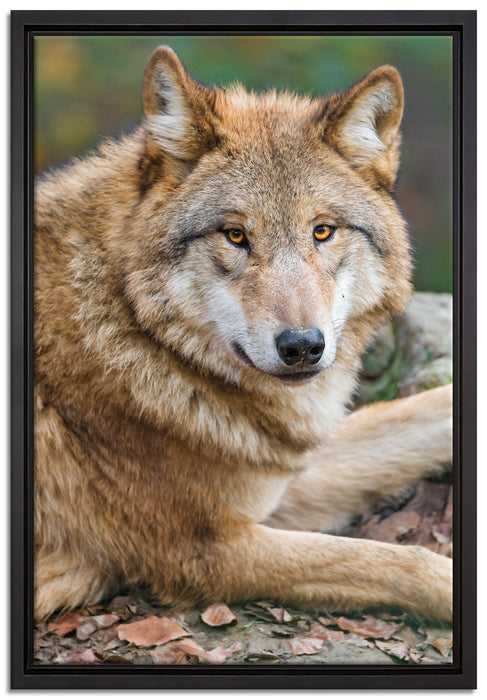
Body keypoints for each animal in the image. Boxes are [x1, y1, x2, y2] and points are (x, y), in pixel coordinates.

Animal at [34, 46, 453, 622]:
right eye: (235, 235)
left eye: (323, 231)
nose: (302, 346)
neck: (135, 333)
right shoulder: (207, 550)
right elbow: (400, 561)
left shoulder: (276, 478)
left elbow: (427, 410)